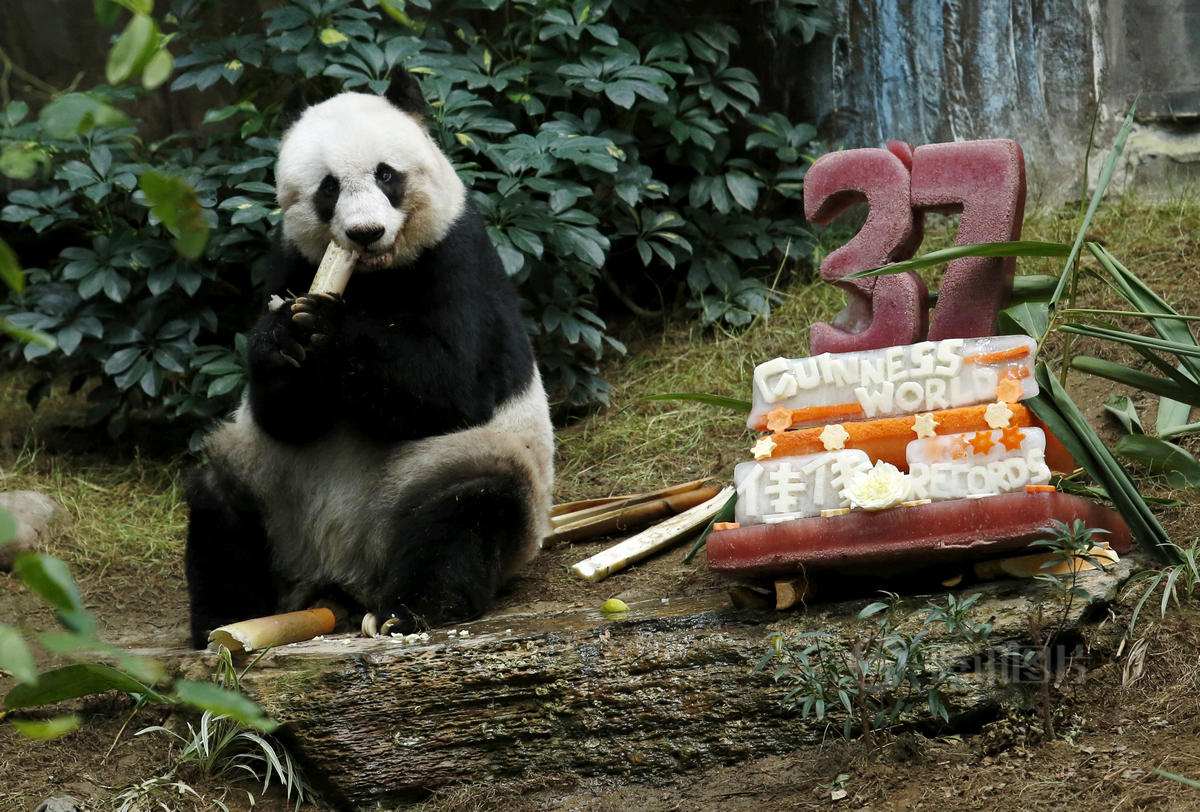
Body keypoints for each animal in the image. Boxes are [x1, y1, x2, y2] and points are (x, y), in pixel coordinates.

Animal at [183, 71, 556, 652]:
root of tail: (341, 575)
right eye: (328, 187)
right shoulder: (290, 257)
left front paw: (327, 329)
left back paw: (409, 611)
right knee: (219, 504)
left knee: (467, 511)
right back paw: (226, 618)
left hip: (448, 468)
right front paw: (283, 336)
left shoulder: (459, 256)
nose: (364, 232)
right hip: (268, 483)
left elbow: (453, 386)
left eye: (386, 174)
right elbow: (282, 417)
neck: (373, 274)